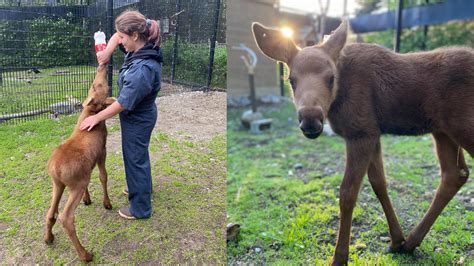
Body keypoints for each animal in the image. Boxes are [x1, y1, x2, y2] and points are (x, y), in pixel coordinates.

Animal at [44, 64, 116, 262]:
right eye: (100, 86)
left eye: (94, 85)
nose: (102, 67)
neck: (90, 114)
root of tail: (55, 169)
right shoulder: (102, 151)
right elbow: (103, 176)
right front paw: (107, 203)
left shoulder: (86, 171)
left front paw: (88, 199)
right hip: (74, 184)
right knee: (66, 217)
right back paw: (85, 255)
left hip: (58, 184)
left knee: (50, 212)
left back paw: (48, 237)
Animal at [250, 20, 472, 264]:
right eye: (292, 80)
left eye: (331, 78)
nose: (310, 119)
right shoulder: (372, 133)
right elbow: (379, 183)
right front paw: (397, 240)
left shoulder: (360, 133)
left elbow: (348, 193)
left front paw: (339, 257)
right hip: (443, 131)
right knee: (455, 174)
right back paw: (412, 242)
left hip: (462, 127)